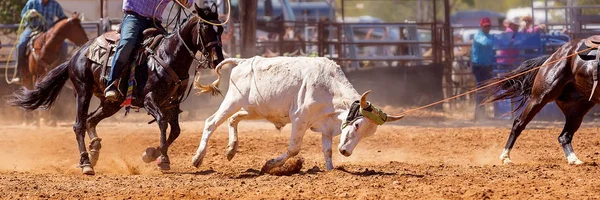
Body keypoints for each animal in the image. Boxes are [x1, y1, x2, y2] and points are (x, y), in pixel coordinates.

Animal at [8, 3, 224, 175]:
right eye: (205, 27)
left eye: (220, 30)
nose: (217, 60)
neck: (167, 55)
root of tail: (76, 55)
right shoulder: (150, 99)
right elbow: (163, 123)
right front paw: (163, 159)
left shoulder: (171, 103)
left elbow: (176, 130)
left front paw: (150, 154)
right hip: (83, 91)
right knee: (79, 125)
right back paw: (86, 163)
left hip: (111, 103)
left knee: (91, 120)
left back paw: (95, 150)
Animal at [486, 37, 600, 166]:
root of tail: (552, 56)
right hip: (540, 97)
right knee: (518, 123)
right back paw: (505, 157)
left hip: (578, 108)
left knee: (564, 136)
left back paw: (573, 159)